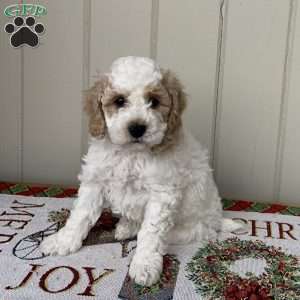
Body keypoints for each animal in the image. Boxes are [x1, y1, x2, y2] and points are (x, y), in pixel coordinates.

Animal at [40, 55, 239, 286]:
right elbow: (80, 215)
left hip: (196, 225)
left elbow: (151, 232)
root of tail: (218, 219)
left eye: (154, 101)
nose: (137, 128)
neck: (131, 154)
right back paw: (126, 226)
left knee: (185, 233)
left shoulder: (162, 193)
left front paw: (145, 264)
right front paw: (62, 241)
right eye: (119, 101)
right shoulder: (95, 180)